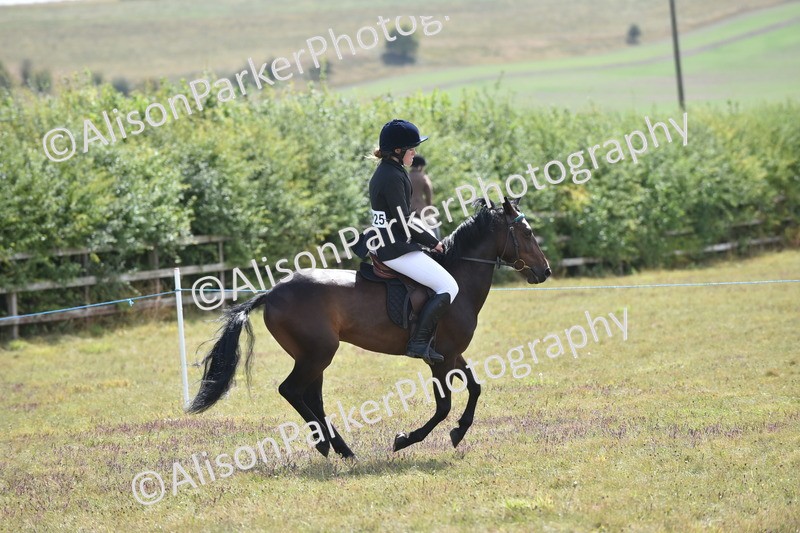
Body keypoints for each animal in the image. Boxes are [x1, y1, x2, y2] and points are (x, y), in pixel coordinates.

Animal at [186, 197, 551, 458]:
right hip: (318, 353)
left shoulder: (451, 354)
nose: (544, 271)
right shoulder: (441, 358)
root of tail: (273, 291)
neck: (458, 279)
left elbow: (475, 387)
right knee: (291, 390)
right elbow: (444, 405)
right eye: (528, 233)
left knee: (311, 396)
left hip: (312, 356)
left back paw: (339, 448)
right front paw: (406, 439)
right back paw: (330, 446)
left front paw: (459, 431)